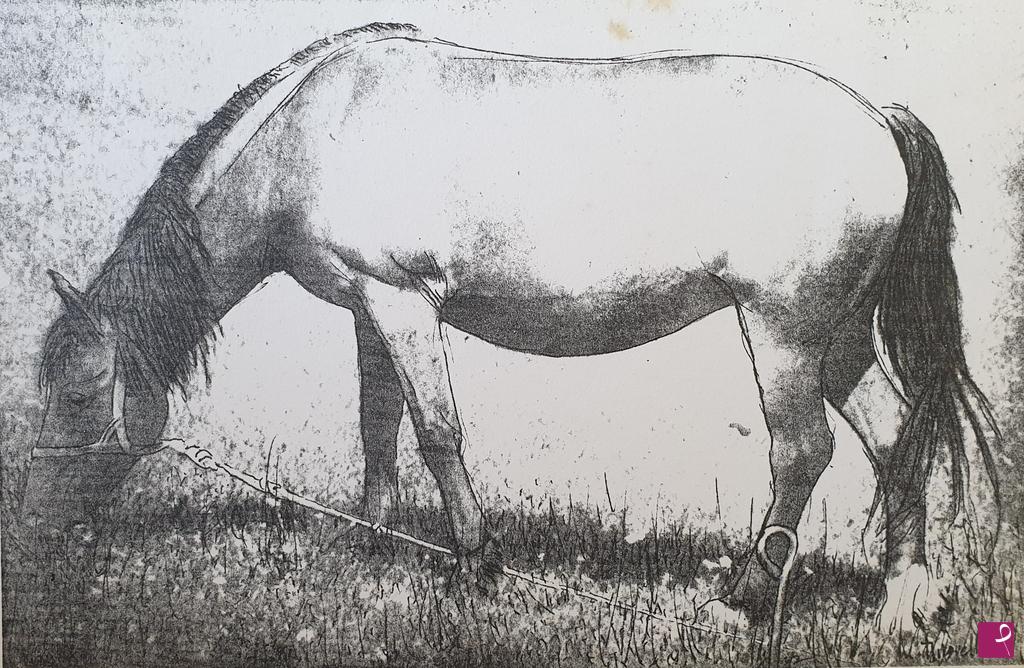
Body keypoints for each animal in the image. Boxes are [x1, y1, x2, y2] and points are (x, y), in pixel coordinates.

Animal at [31, 22, 1002, 631]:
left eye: (80, 397)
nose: (40, 526)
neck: (313, 130)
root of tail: (877, 117)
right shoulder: (371, 311)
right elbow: (379, 427)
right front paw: (368, 542)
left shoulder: (402, 302)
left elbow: (437, 433)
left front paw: (475, 565)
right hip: (839, 339)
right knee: (895, 436)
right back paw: (904, 602)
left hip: (784, 332)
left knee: (803, 451)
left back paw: (742, 597)